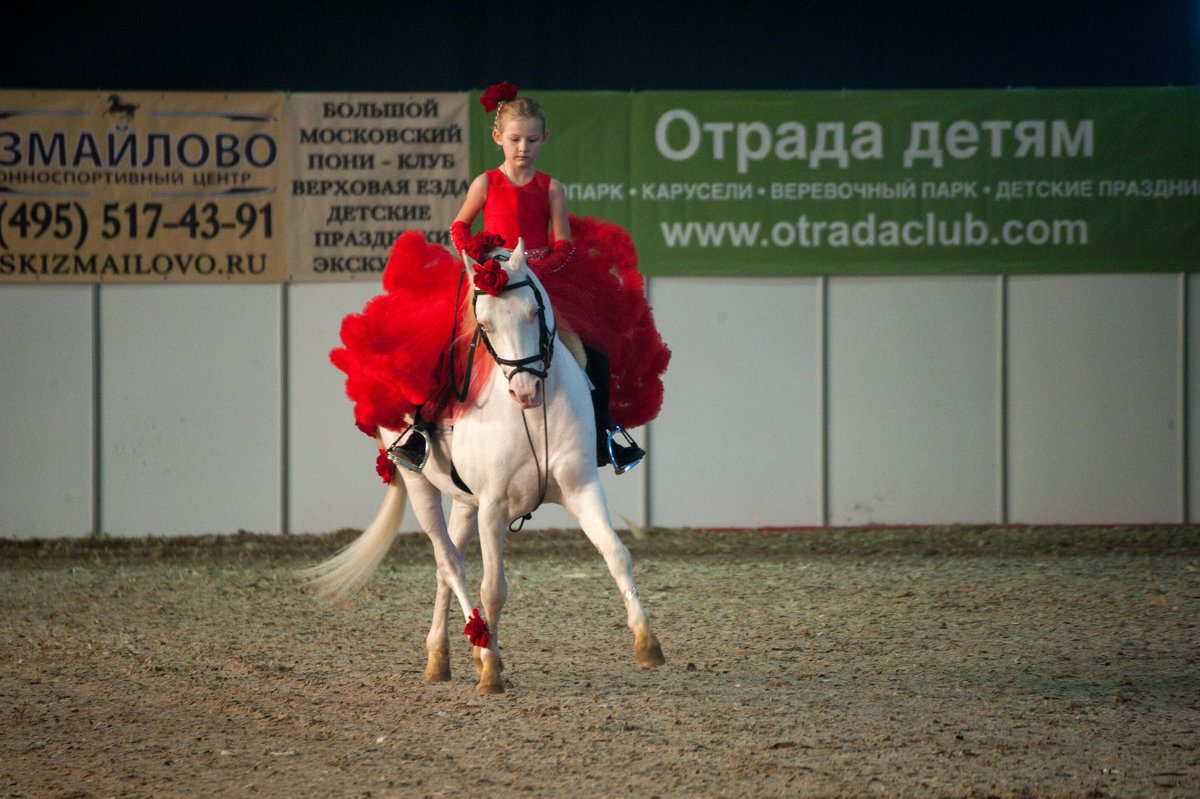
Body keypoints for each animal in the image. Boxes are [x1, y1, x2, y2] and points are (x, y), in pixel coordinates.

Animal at [304, 237, 667, 691]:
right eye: (485, 324)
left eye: (534, 312)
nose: (525, 391)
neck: (534, 417)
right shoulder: (494, 506)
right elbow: (493, 587)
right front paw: (492, 670)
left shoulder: (581, 488)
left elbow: (617, 553)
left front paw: (647, 643)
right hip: (420, 485)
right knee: (450, 564)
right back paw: (473, 644)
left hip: (465, 502)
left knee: (446, 568)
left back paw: (443, 656)